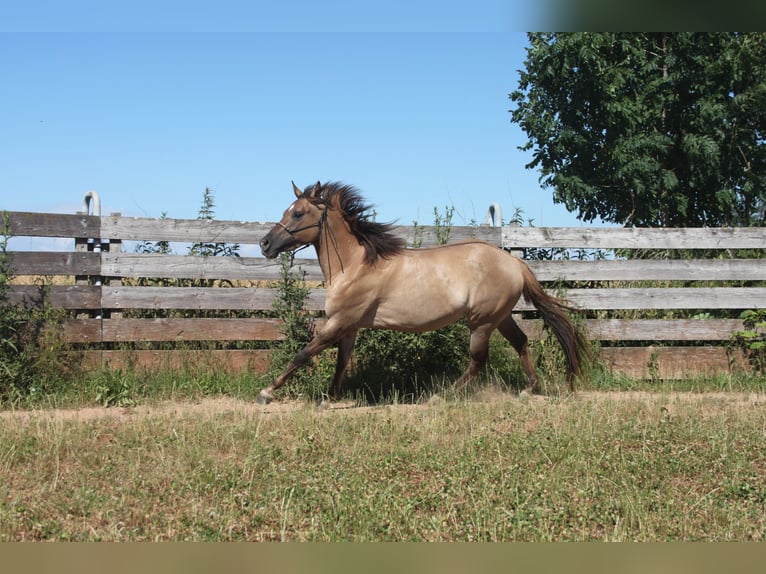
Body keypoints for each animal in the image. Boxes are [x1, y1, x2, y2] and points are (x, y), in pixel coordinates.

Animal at [257, 181, 589, 404]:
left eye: (298, 213)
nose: (264, 244)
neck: (354, 266)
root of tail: (514, 262)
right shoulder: (349, 326)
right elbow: (341, 361)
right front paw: (331, 397)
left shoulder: (339, 322)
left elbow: (303, 354)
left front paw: (267, 392)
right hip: (500, 316)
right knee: (520, 342)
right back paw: (528, 388)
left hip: (481, 321)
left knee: (479, 359)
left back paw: (442, 396)